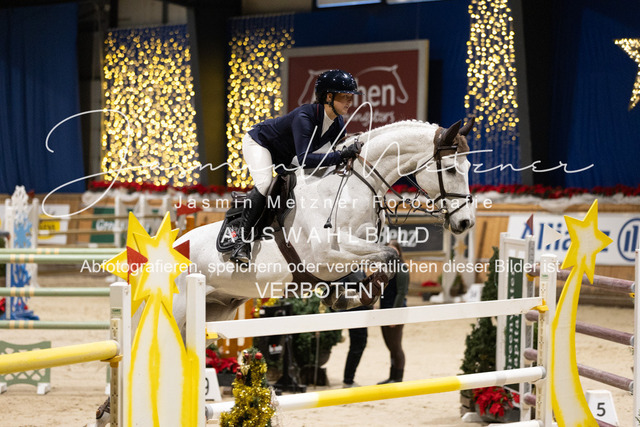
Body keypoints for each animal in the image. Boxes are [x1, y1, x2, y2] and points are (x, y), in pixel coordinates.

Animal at [92, 117, 475, 426]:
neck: (356, 187)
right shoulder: (326, 255)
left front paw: (347, 297)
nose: (465, 223)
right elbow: (389, 255)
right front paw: (358, 295)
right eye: (451, 169)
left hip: (213, 312)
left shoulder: (342, 257)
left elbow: (386, 257)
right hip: (178, 308)